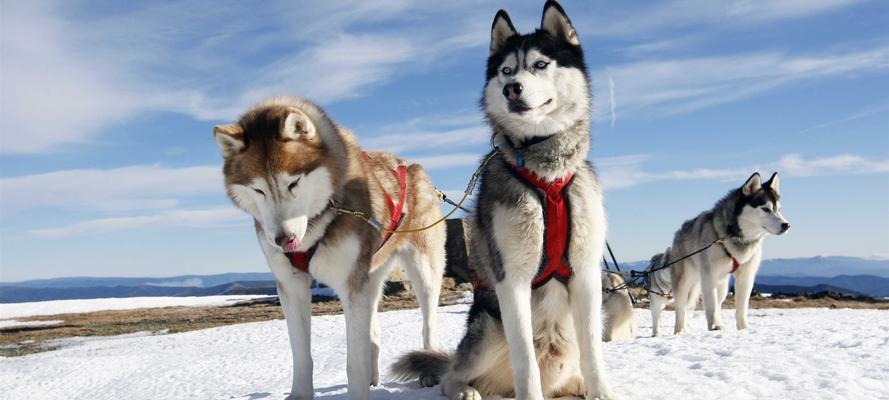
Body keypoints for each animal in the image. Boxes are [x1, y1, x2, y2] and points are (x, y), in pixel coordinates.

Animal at [214, 97, 444, 400]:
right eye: (258, 190)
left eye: (293, 183)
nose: (283, 240)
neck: (320, 219)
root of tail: (411, 166)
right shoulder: (292, 285)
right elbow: (301, 356)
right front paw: (300, 395)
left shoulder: (350, 286)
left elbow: (353, 363)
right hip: (370, 275)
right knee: (373, 330)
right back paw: (374, 376)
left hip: (422, 269)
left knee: (428, 321)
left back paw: (428, 366)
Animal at [392, 1, 612, 398]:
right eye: (506, 70)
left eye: (540, 64)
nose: (512, 88)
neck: (547, 175)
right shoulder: (512, 278)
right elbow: (525, 359)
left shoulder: (587, 274)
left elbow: (594, 354)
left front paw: (601, 392)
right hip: (487, 327)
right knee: (454, 374)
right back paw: (464, 389)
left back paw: (575, 386)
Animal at [652, 173, 792, 334]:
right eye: (766, 209)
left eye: (779, 209)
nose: (786, 225)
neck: (734, 234)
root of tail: (680, 231)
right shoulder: (709, 276)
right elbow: (711, 305)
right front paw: (714, 326)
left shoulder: (746, 277)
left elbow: (741, 309)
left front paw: (744, 329)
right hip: (684, 281)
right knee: (681, 308)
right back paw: (679, 331)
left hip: (722, 285)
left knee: (718, 303)